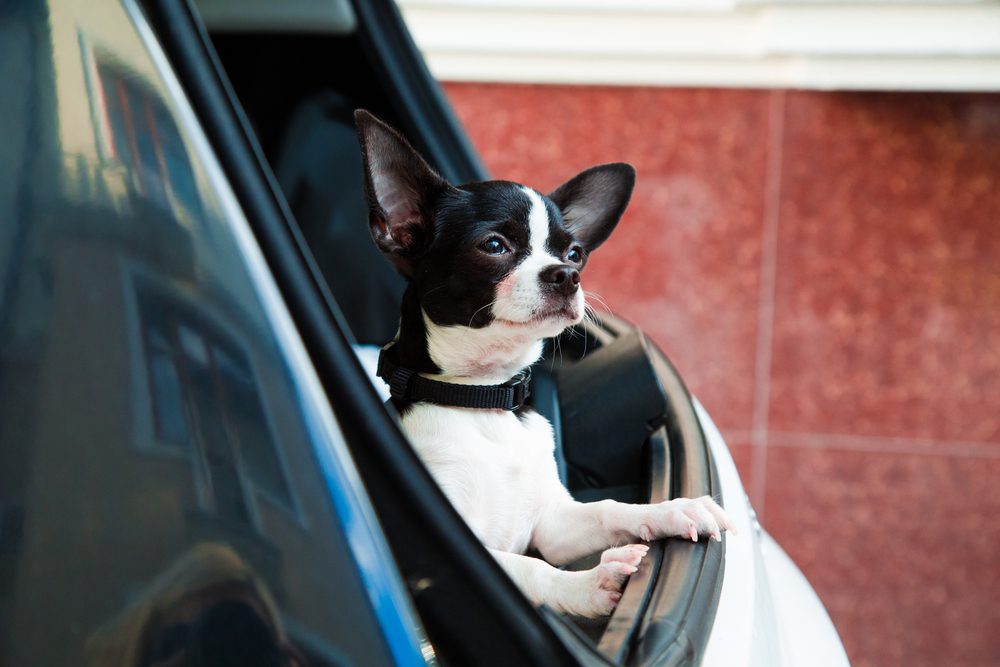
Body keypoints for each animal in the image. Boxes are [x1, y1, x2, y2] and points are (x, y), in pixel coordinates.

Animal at [356, 111, 732, 620]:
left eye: (575, 253)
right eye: (494, 245)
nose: (567, 275)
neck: (483, 399)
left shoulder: (553, 524)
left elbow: (608, 509)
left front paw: (671, 510)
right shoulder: (470, 549)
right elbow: (532, 569)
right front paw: (591, 584)